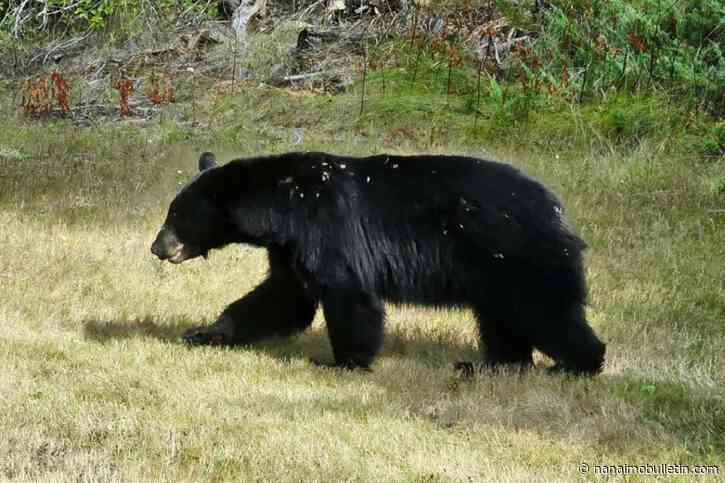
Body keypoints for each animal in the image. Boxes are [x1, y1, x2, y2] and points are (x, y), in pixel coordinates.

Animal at [151, 151, 606, 375]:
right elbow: (283, 296)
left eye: (176, 215)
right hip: (495, 271)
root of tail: (558, 209)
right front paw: (206, 332)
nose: (156, 247)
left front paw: (343, 362)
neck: (285, 203)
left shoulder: (327, 228)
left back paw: (574, 366)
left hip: (518, 255)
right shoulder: (290, 246)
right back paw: (489, 365)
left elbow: (346, 293)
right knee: (501, 320)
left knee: (546, 314)